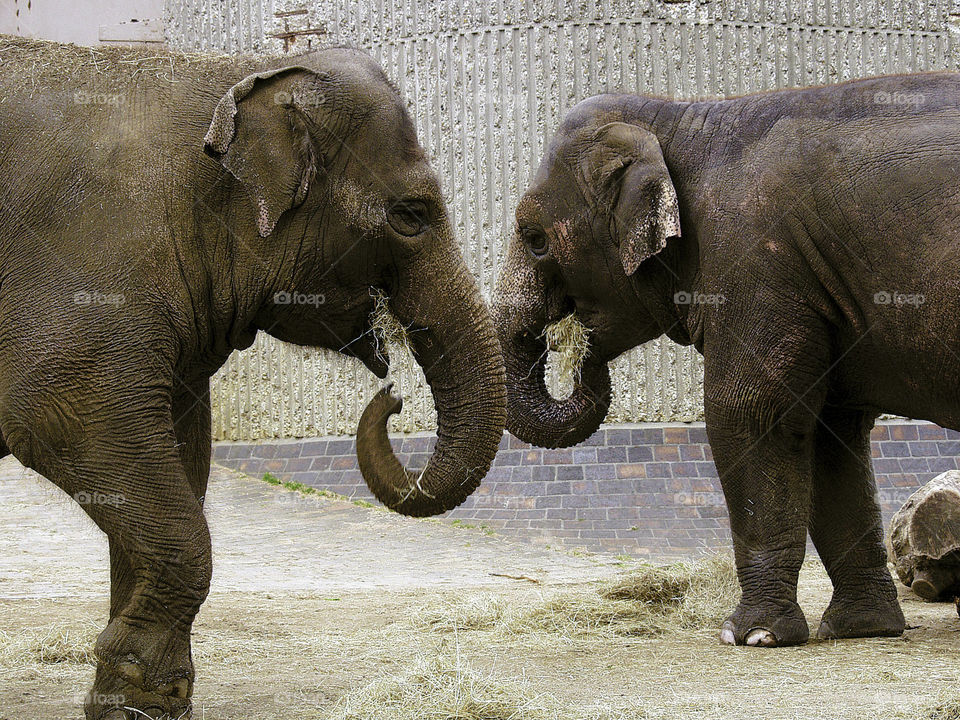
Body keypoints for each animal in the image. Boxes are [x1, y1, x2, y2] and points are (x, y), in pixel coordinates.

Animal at [0, 37, 504, 718]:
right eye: (411, 215)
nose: (394, 395)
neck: (229, 72)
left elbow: (178, 461)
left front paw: (137, 701)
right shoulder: (83, 280)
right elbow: (63, 420)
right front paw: (139, 695)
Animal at [494, 72, 960, 648]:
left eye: (535, 239)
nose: (574, 344)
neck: (681, 117)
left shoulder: (755, 261)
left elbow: (749, 412)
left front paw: (751, 636)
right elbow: (828, 432)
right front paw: (860, 630)